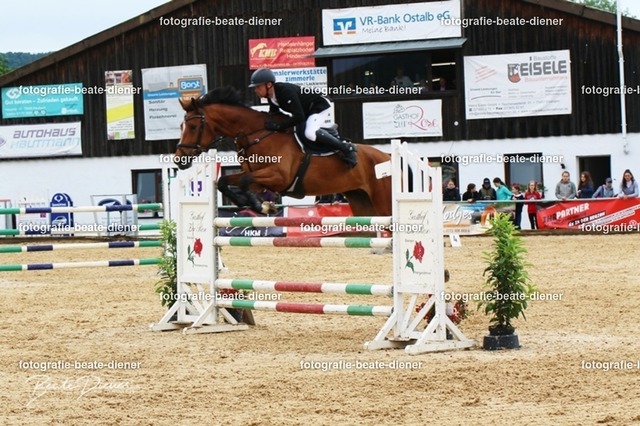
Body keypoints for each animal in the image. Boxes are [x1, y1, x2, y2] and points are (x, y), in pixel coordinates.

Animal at [173, 87, 392, 217]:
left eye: (192, 127)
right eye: (181, 126)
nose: (178, 160)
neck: (256, 134)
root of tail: (387, 156)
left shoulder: (279, 176)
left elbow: (244, 182)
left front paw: (260, 206)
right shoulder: (258, 177)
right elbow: (224, 181)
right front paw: (249, 203)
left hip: (383, 201)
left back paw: (350, 152)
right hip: (361, 201)